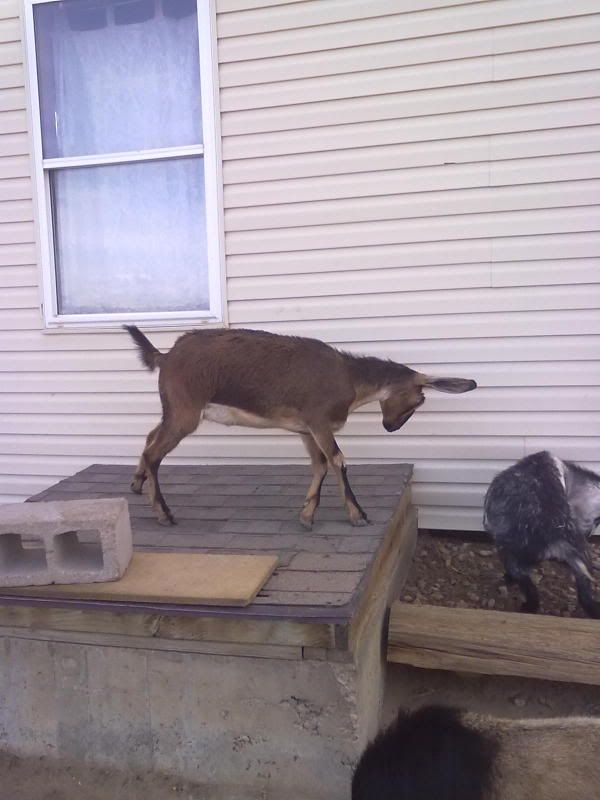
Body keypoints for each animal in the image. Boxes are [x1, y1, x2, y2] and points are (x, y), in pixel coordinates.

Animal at [124, 326, 476, 527]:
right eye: (420, 401)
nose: (391, 427)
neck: (349, 378)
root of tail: (165, 356)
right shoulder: (319, 421)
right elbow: (338, 460)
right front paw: (357, 515)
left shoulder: (307, 430)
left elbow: (319, 465)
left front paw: (307, 515)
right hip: (185, 411)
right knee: (155, 453)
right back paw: (164, 513)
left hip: (174, 410)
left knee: (150, 438)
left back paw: (137, 484)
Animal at [483, 451, 600, 618]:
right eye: (596, 520)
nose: (589, 533)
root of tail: (554, 532)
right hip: (581, 554)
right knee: (585, 597)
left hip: (510, 553)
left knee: (529, 589)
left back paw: (526, 606)